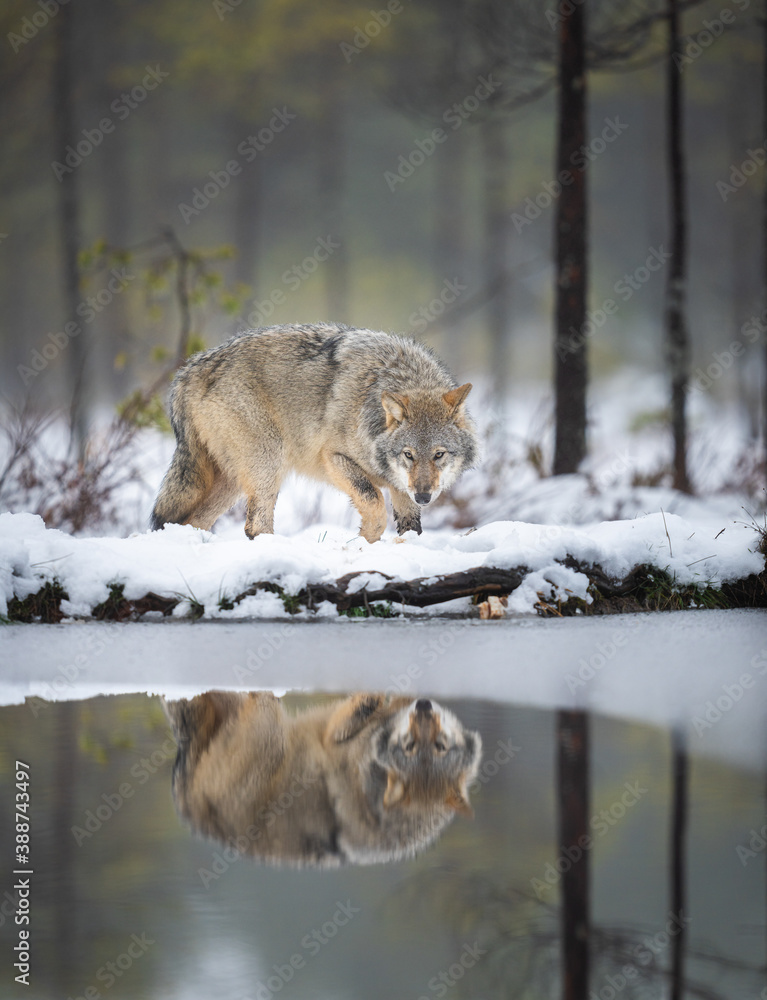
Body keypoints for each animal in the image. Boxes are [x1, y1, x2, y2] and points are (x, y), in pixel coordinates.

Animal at [150, 323, 477, 541]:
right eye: (408, 454)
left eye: (438, 454)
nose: (424, 496)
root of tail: (189, 370)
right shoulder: (333, 458)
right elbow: (373, 505)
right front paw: (363, 544)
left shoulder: (400, 488)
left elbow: (411, 529)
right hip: (270, 463)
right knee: (255, 525)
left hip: (233, 482)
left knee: (194, 521)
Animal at [163, 691, 482, 867]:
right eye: (414, 745)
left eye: (437, 746)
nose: (424, 706)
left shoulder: (334, 736)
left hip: (270, 731)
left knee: (259, 699)